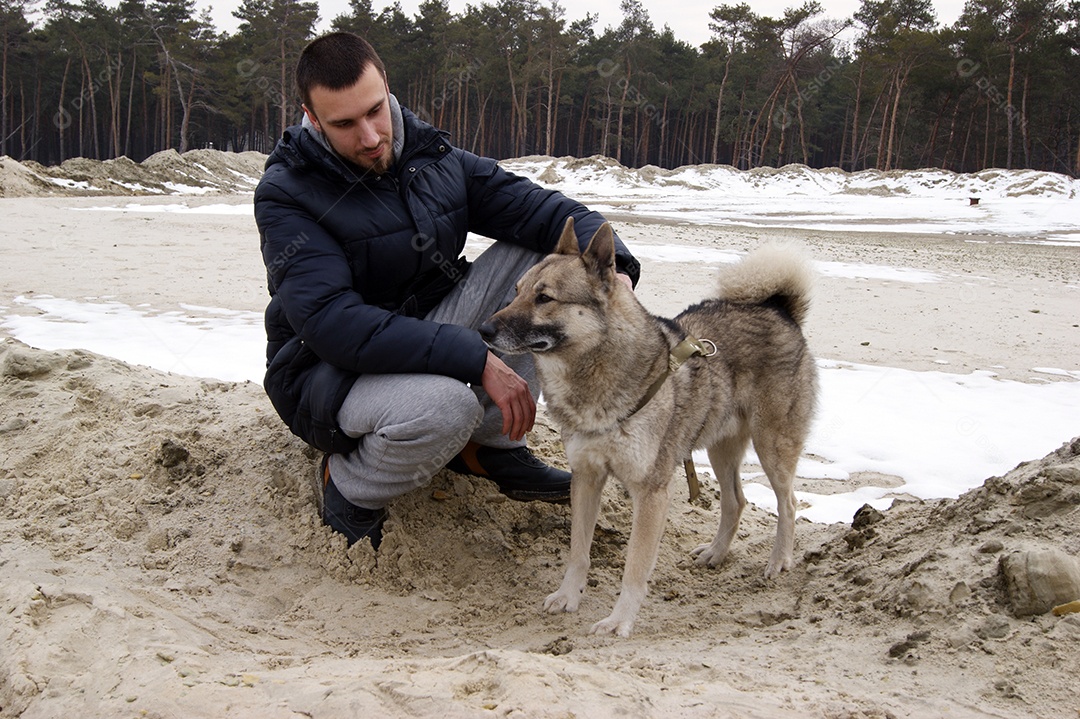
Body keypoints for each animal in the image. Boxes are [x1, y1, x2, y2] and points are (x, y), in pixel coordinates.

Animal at [481, 216, 816, 634]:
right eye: (517, 291)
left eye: (544, 298)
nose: (484, 330)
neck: (597, 376)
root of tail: (777, 308)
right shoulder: (586, 478)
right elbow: (578, 551)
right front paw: (568, 596)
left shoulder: (651, 492)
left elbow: (634, 567)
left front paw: (619, 620)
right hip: (720, 448)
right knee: (735, 502)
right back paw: (716, 553)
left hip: (772, 447)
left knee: (787, 503)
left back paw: (779, 560)